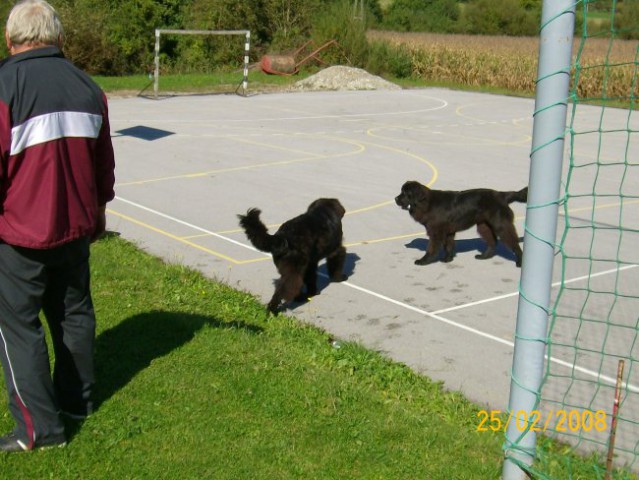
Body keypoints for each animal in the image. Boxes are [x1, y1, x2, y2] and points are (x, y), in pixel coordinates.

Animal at [396, 182, 528, 268]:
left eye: (405, 193)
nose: (395, 199)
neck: (426, 203)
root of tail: (501, 195)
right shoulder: (447, 231)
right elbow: (448, 246)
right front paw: (447, 259)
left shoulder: (436, 231)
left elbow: (432, 248)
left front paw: (424, 261)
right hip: (483, 225)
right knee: (492, 241)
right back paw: (484, 256)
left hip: (501, 225)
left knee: (513, 242)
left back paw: (520, 262)